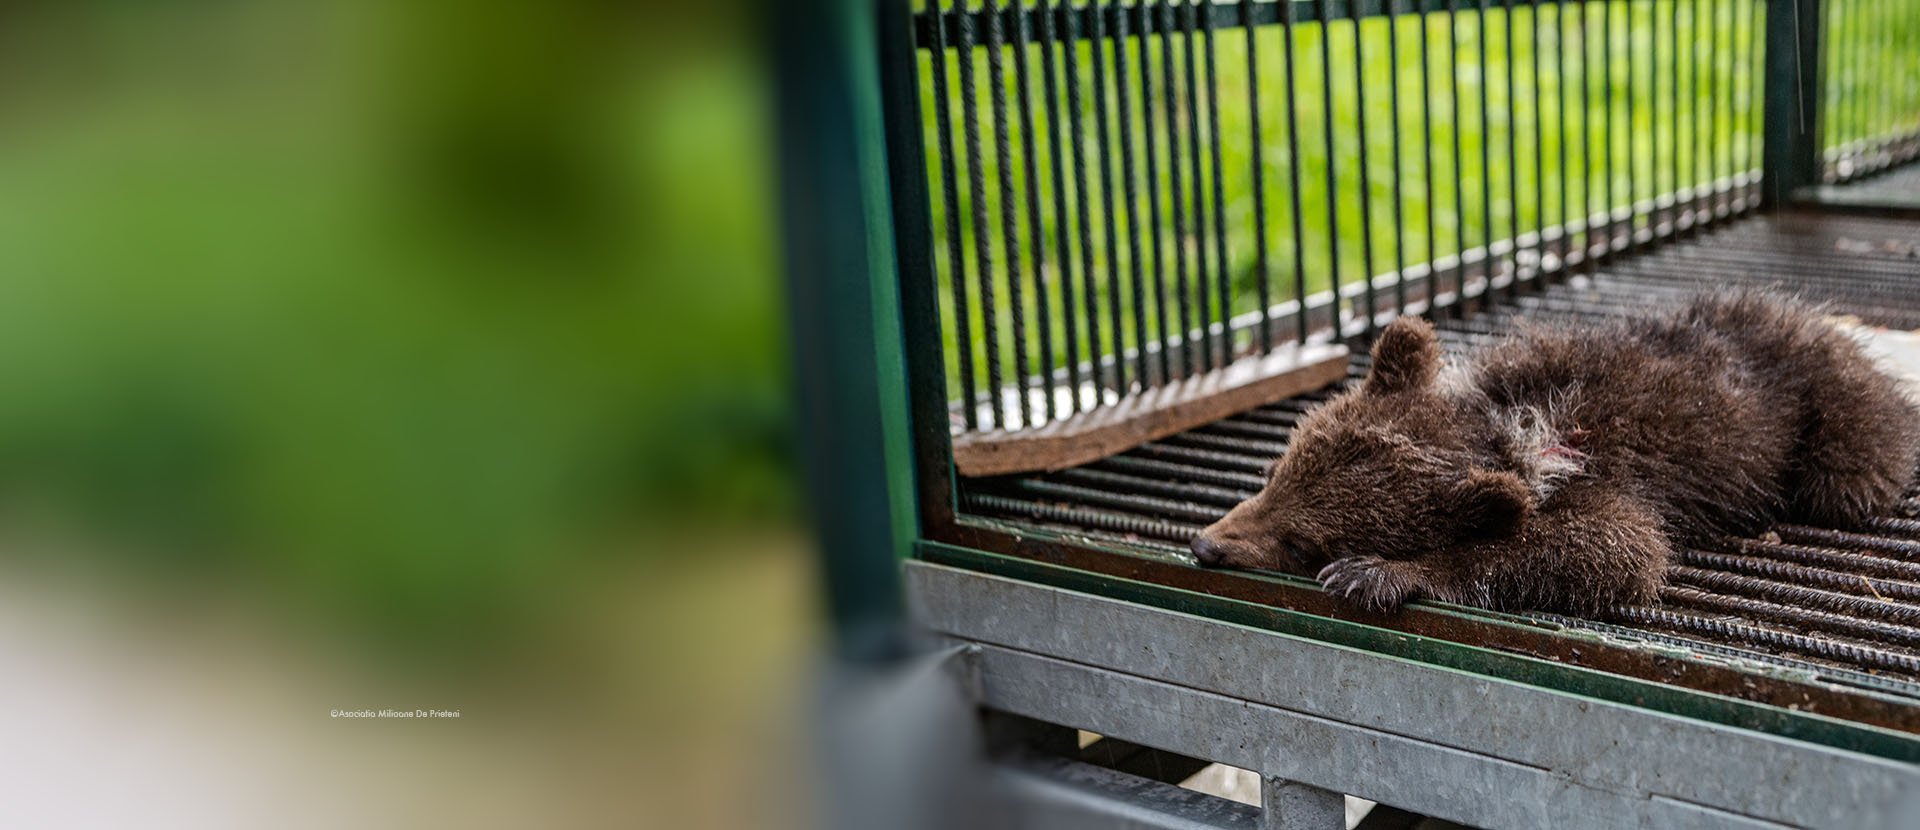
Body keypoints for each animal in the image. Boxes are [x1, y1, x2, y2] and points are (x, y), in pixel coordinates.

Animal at [1189, 290, 1920, 615]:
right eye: (1275, 473)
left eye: (1301, 543)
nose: (1205, 544)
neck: (1507, 428)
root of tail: (1834, 326)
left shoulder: (1604, 482)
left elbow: (1620, 547)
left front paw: (1382, 572)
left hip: (1834, 405)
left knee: (1845, 477)